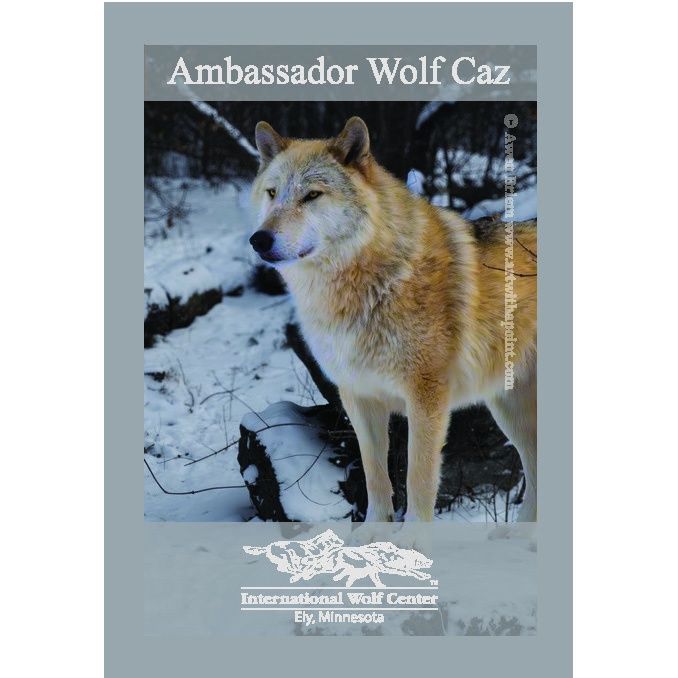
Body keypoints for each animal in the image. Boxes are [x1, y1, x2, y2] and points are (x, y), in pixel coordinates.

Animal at [249, 117, 537, 522]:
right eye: (273, 193)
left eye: (312, 196)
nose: (259, 239)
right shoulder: (359, 398)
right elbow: (376, 479)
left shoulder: (426, 399)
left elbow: (418, 481)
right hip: (508, 412)